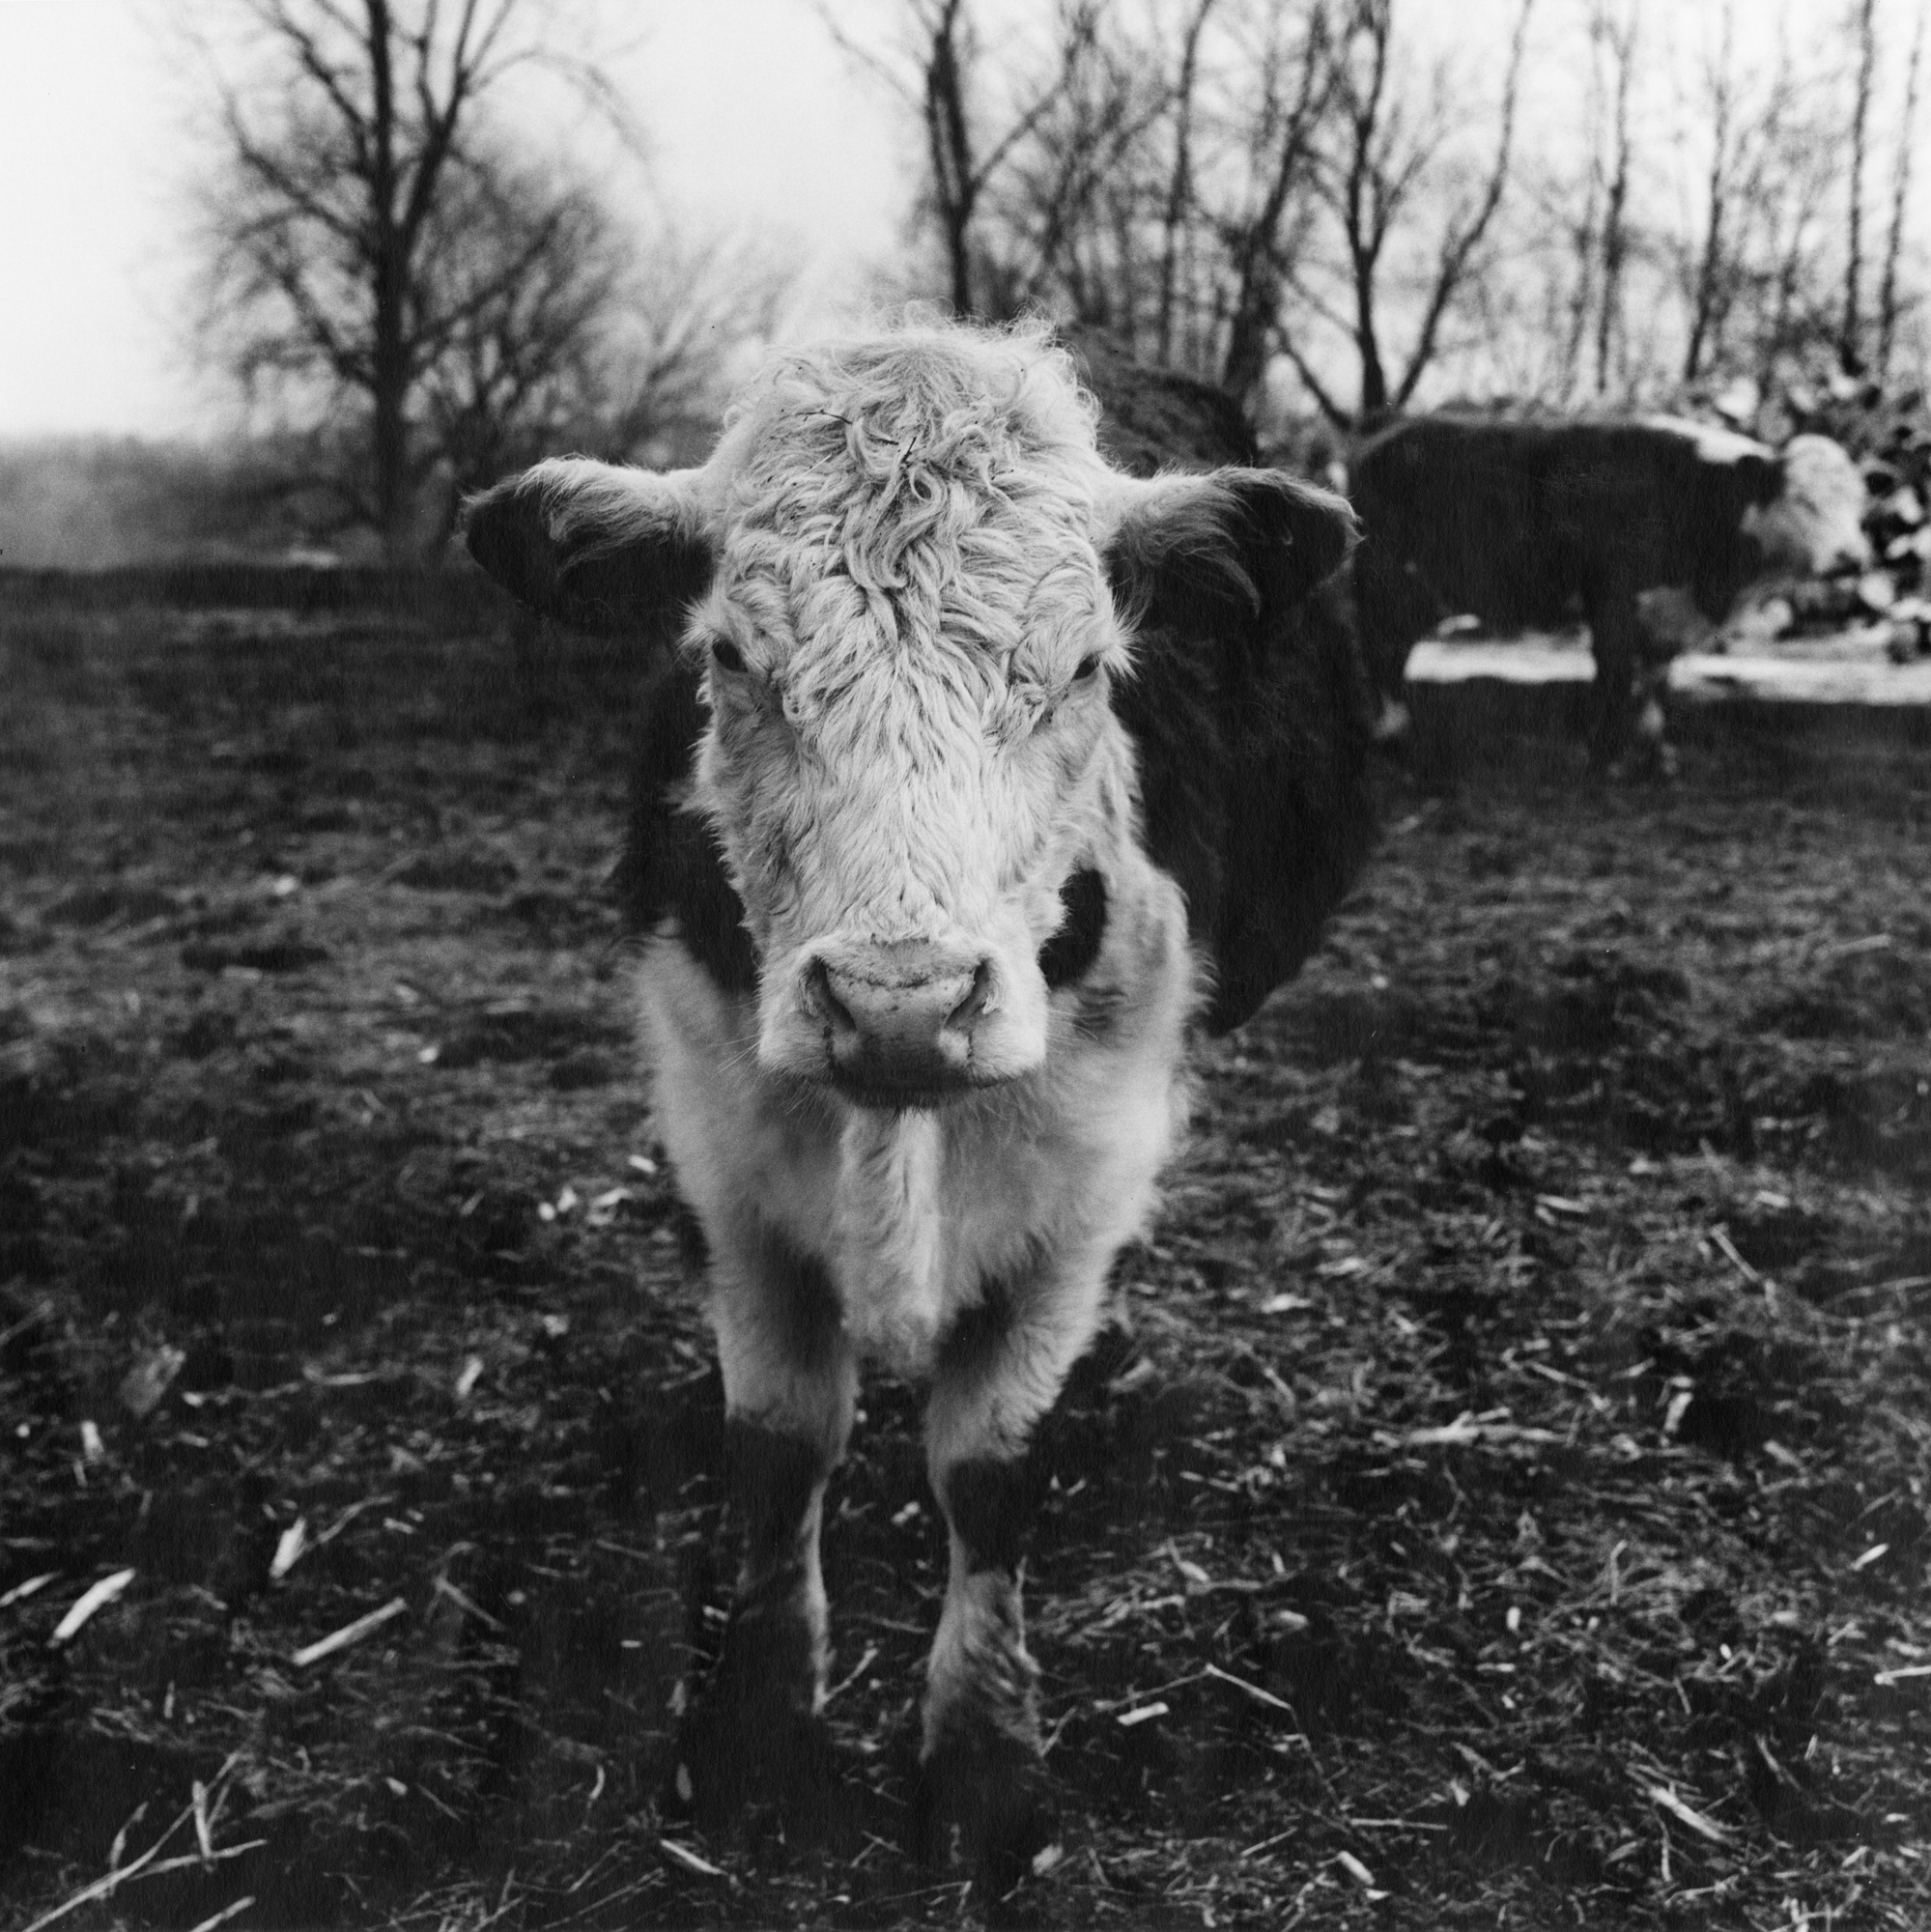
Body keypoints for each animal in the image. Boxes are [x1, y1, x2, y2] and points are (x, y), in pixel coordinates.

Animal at [463, 325, 1375, 1893]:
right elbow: (778, 1447)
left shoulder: (1085, 1180)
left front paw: (986, 1758)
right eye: (728, 655)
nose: (899, 1001)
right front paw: (758, 1725)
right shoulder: (722, 1155)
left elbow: (988, 1468)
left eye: (1084, 666)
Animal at [1344, 412, 1869, 765]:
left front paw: (1656, 752)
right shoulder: (1613, 597)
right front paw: (1606, 753)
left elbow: (1656, 676)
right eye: (1804, 501)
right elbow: (1615, 672)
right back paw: (1395, 735)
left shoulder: (1665, 612)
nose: (1852, 558)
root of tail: (1385, 435)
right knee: (1381, 651)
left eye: (1859, 503)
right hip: (1391, 582)